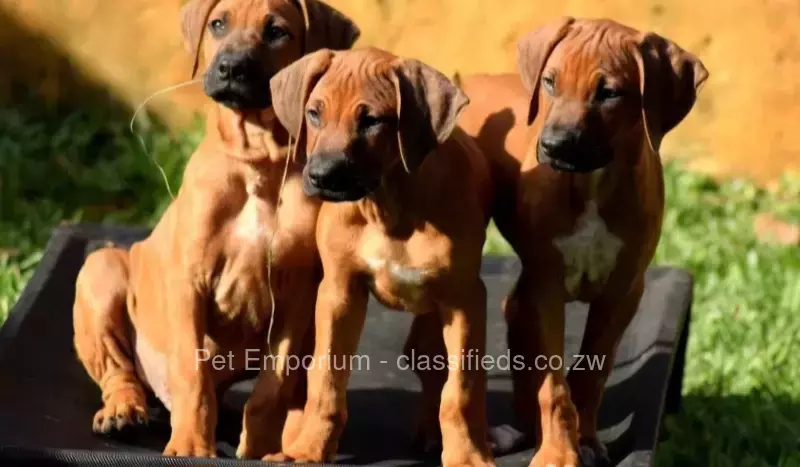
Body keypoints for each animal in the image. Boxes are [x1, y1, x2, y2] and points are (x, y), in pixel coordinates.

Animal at [70, 0, 358, 460]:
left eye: (277, 32)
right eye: (218, 24)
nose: (230, 67)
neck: (257, 161)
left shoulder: (296, 296)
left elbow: (273, 385)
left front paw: (258, 447)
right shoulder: (190, 281)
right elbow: (193, 377)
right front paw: (190, 444)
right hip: (102, 269)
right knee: (119, 370)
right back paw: (122, 409)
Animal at [264, 44, 494, 467]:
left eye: (371, 121)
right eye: (314, 113)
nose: (321, 176)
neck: (388, 206)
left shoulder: (465, 300)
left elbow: (461, 390)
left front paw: (467, 456)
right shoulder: (339, 292)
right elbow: (326, 380)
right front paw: (309, 448)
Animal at [454, 17, 708, 467]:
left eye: (608, 93)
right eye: (551, 83)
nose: (552, 146)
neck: (593, 181)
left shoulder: (624, 291)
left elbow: (591, 373)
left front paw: (585, 440)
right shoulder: (548, 288)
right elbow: (553, 384)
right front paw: (558, 451)